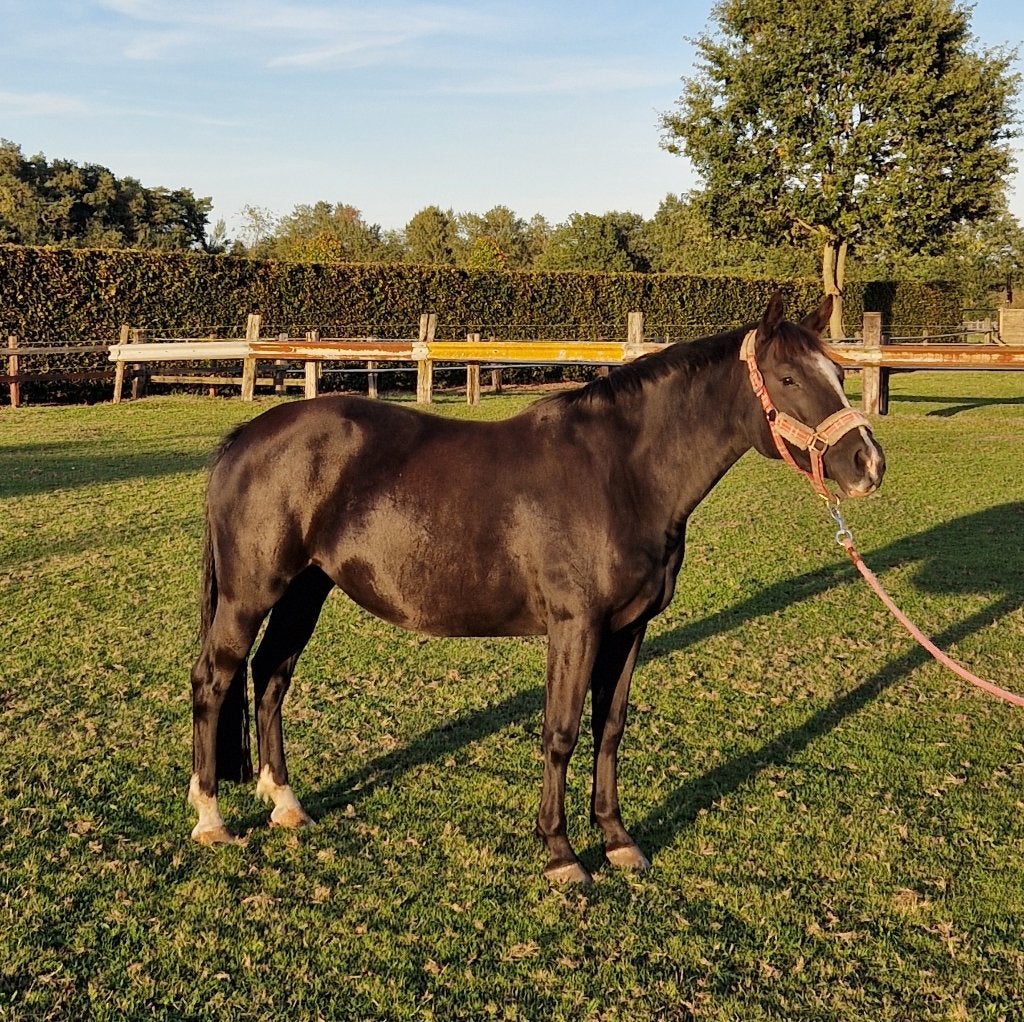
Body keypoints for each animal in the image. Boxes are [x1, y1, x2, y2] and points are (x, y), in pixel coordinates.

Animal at [189, 291, 885, 884]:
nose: (869, 465)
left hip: (306, 590)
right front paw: (561, 853)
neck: (620, 474)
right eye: (788, 379)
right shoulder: (575, 628)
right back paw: (211, 817)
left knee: (270, 677)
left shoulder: (630, 629)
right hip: (251, 595)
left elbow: (610, 728)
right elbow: (561, 732)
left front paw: (617, 841)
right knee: (215, 680)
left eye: (839, 373)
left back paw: (285, 804)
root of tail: (244, 438)